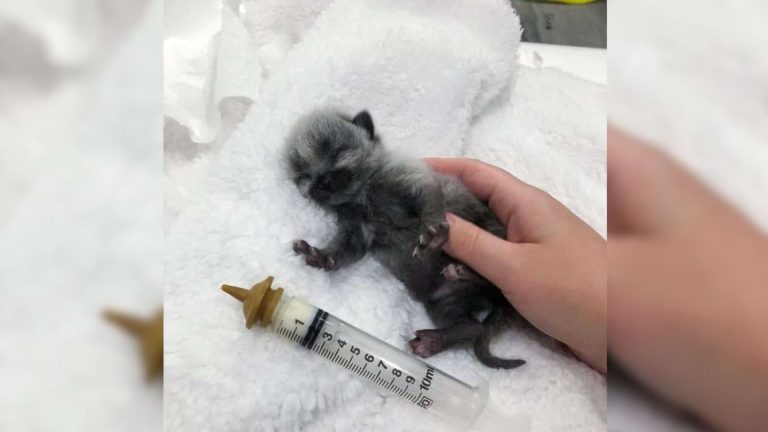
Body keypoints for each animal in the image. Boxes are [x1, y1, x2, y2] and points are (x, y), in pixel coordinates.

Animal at [284, 107, 524, 368]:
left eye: (337, 151)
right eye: (304, 176)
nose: (322, 182)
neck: (363, 194)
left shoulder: (412, 178)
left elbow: (430, 200)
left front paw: (433, 232)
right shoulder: (358, 230)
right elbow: (345, 251)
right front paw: (320, 256)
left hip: (493, 241)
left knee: (490, 279)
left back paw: (463, 272)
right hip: (443, 302)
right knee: (473, 327)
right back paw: (437, 339)